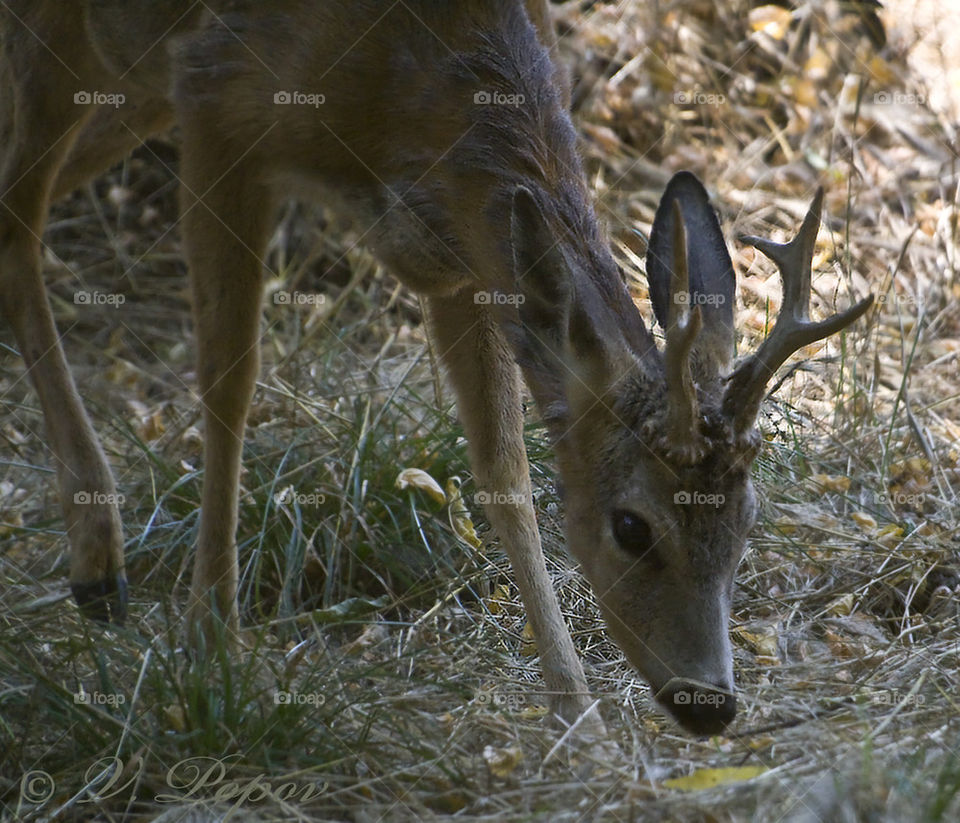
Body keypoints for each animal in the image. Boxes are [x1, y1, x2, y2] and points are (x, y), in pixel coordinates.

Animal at [0, 0, 872, 732]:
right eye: (632, 526)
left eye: (748, 519)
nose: (710, 703)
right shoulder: (216, 101)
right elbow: (228, 384)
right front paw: (210, 638)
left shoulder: (459, 258)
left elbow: (504, 465)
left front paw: (576, 710)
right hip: (70, 47)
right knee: (18, 210)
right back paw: (97, 556)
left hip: (127, 79)